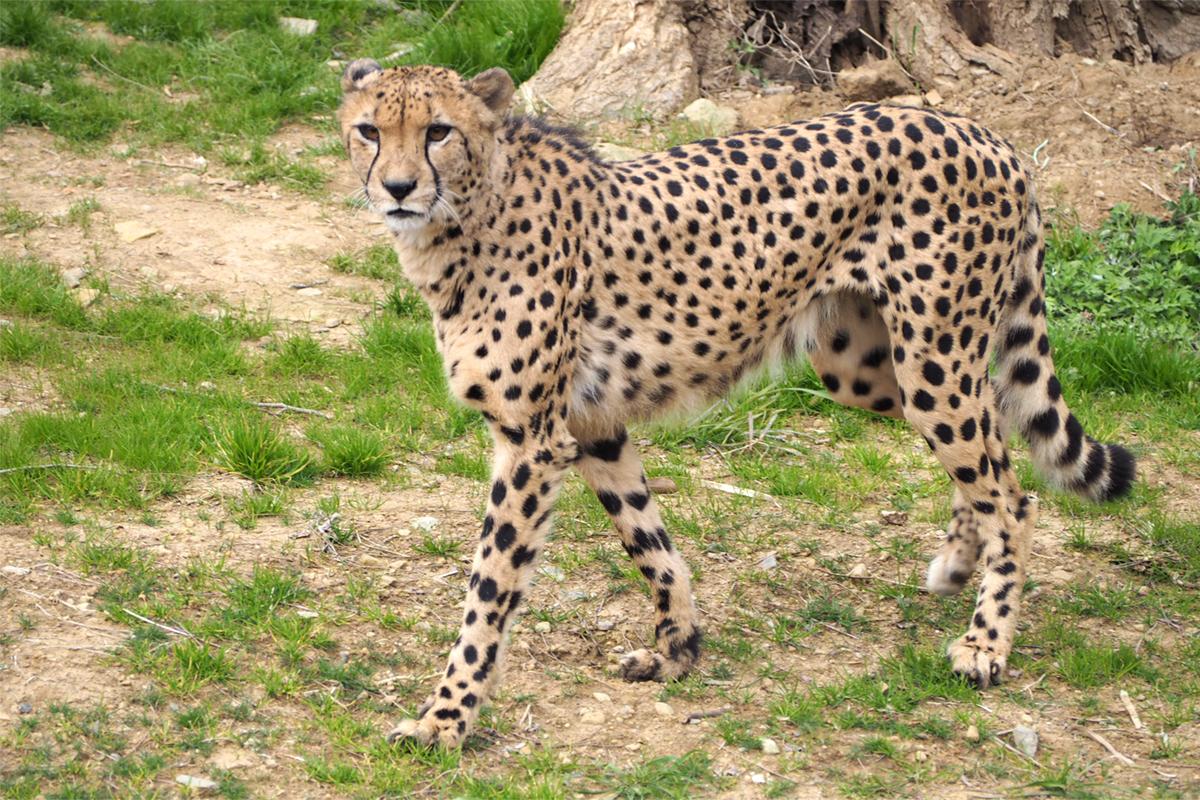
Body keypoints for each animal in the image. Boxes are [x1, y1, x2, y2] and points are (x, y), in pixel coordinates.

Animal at [336, 59, 1132, 748]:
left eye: (439, 131)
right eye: (369, 130)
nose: (398, 187)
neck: (468, 213)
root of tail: (982, 131)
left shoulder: (532, 441)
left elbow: (488, 591)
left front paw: (444, 720)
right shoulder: (592, 424)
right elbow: (649, 541)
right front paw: (678, 649)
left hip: (933, 360)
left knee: (1014, 493)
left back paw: (986, 642)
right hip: (870, 366)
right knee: (993, 439)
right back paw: (959, 563)